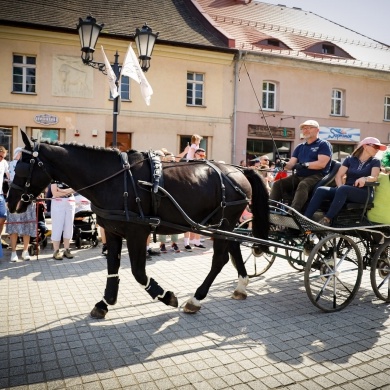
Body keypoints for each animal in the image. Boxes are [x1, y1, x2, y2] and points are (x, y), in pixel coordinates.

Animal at [6, 131, 268, 316]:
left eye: (23, 166)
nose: (10, 202)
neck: (114, 180)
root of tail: (238, 170)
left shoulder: (136, 233)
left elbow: (138, 272)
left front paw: (164, 295)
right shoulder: (112, 231)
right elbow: (112, 267)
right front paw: (105, 302)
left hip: (223, 224)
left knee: (220, 259)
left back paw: (196, 298)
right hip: (224, 225)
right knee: (234, 250)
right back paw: (241, 285)